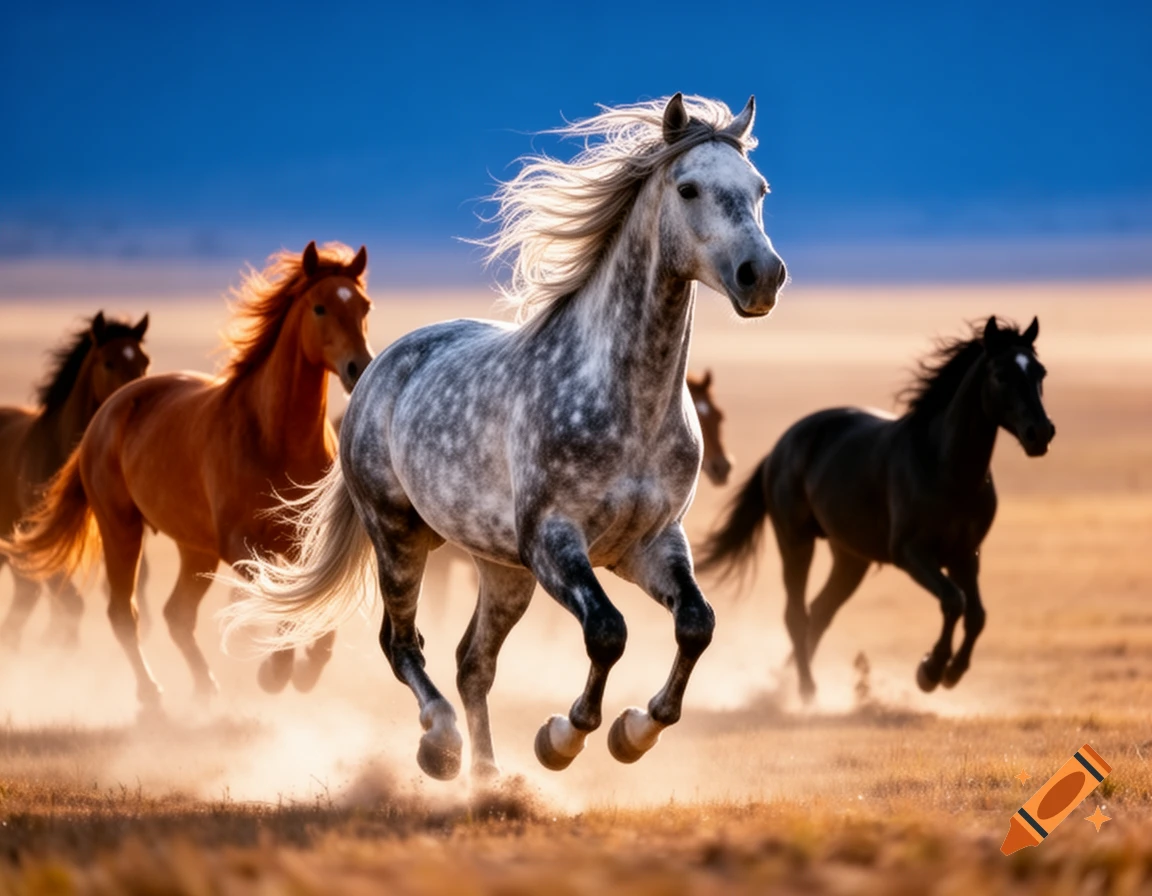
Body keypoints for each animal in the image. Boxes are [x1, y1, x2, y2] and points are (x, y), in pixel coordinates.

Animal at [221, 93, 786, 782]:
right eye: (688, 188)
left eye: (759, 189)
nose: (762, 276)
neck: (628, 402)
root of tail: (380, 367)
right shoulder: (553, 543)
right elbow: (608, 632)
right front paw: (562, 738)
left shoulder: (648, 544)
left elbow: (696, 626)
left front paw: (633, 732)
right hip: (400, 537)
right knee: (402, 644)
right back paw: (441, 747)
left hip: (501, 569)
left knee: (473, 663)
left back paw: (489, 778)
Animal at [697, 316, 1055, 701]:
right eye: (1001, 374)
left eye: (1040, 372)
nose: (1040, 433)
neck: (944, 467)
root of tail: (783, 446)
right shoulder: (911, 553)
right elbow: (954, 601)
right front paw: (930, 671)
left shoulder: (965, 554)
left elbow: (977, 614)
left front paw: (952, 673)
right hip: (795, 542)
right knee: (796, 613)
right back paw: (806, 690)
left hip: (851, 557)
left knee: (820, 611)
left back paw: (785, 681)